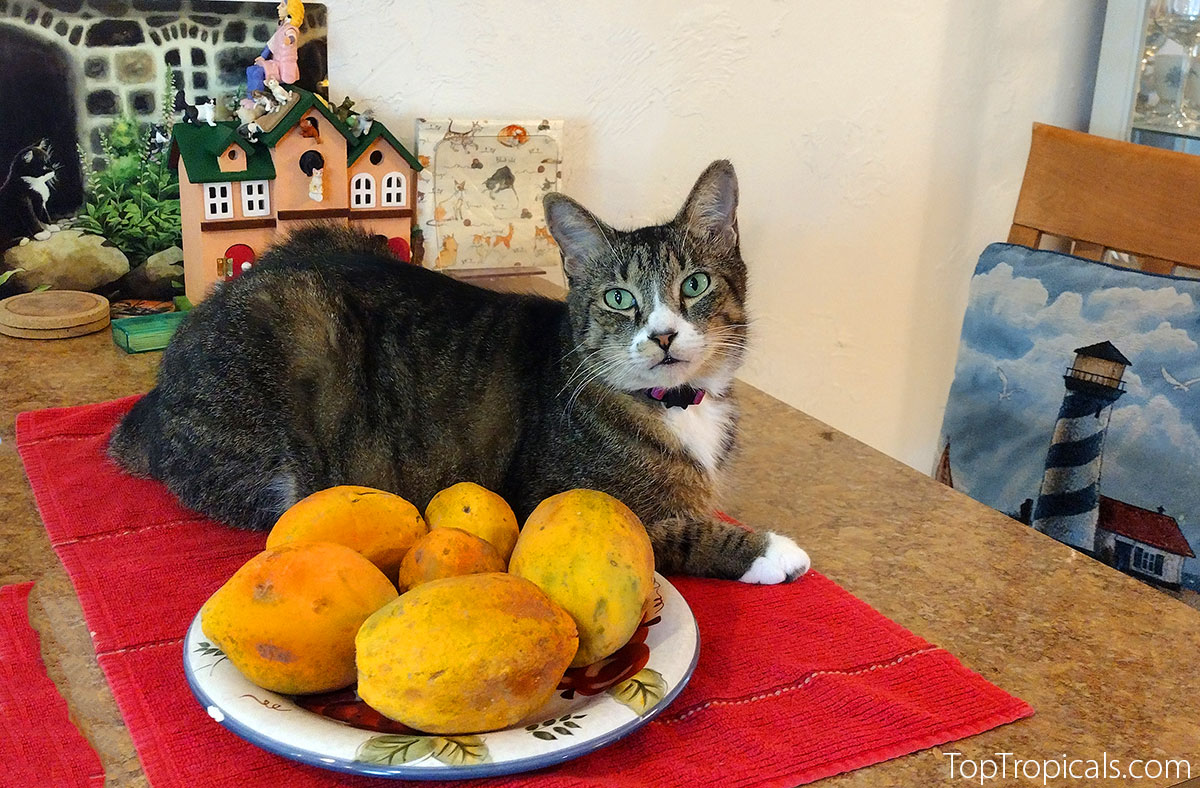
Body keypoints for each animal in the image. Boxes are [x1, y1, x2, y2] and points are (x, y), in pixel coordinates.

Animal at [110, 159, 806, 580]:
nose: (662, 335)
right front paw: (773, 550)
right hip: (293, 348)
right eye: (618, 298)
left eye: (694, 284)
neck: (676, 404)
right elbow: (679, 533)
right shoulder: (548, 497)